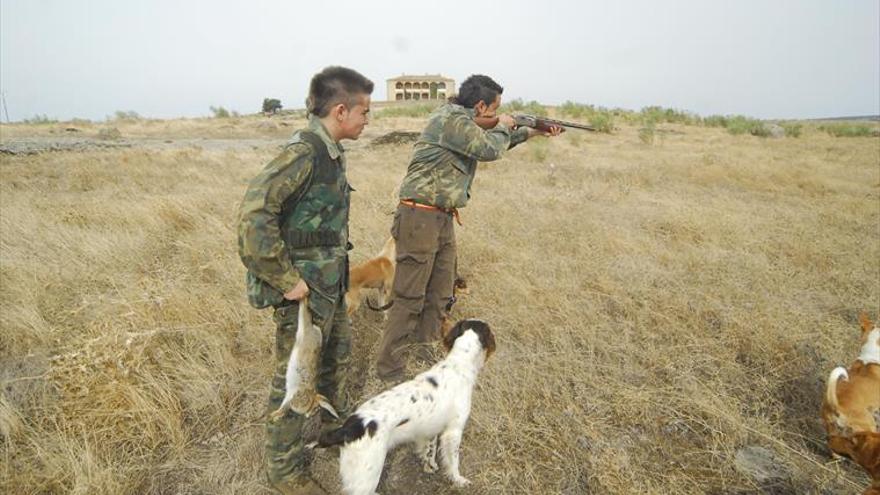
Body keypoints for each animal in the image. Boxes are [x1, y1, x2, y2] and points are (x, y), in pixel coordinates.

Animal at [310, 320, 496, 494]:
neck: (458, 364)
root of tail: (348, 427)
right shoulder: (454, 431)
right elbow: (453, 461)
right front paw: (458, 480)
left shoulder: (431, 429)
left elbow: (429, 450)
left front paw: (430, 465)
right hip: (368, 476)